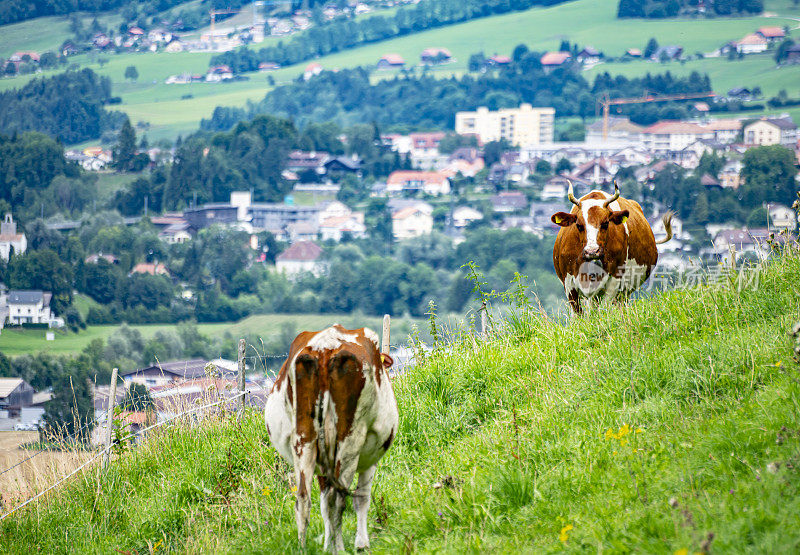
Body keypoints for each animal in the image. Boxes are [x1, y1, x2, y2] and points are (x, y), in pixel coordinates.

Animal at [264, 324, 398, 552]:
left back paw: (303, 548)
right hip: (349, 440)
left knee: (304, 499)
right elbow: (361, 498)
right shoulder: (370, 458)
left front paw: (327, 546)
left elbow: (324, 504)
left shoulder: (321, 465)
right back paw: (340, 549)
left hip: (304, 440)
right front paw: (361, 544)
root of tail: (325, 347)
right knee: (339, 499)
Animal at [552, 181, 668, 312]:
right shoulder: (569, 284)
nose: (592, 251)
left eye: (606, 223)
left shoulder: (614, 280)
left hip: (624, 291)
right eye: (579, 225)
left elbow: (604, 310)